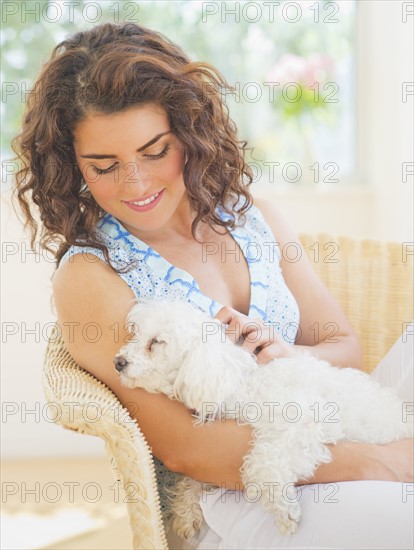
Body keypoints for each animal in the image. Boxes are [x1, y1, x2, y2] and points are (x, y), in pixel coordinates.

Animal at [114, 300, 414, 540]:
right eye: (136, 336)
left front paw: (284, 507)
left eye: (156, 342)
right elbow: (195, 477)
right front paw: (187, 510)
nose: (118, 362)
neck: (239, 383)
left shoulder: (302, 423)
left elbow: (264, 462)